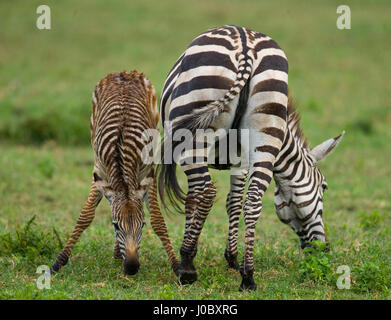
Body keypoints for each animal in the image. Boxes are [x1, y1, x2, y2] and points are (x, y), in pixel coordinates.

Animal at [51, 71, 180, 276]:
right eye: (115, 225)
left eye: (142, 225)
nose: (132, 267)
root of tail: (125, 74)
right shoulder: (99, 171)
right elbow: (85, 216)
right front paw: (59, 261)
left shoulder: (148, 172)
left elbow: (158, 221)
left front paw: (177, 266)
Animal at [158, 25, 344, 290]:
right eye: (325, 187)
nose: (324, 249)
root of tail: (245, 43)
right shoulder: (242, 161)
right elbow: (234, 202)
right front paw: (234, 259)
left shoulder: (233, 160)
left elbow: (200, 200)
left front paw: (223, 257)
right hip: (265, 126)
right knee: (253, 200)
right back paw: (247, 276)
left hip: (192, 139)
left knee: (206, 192)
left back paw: (187, 266)